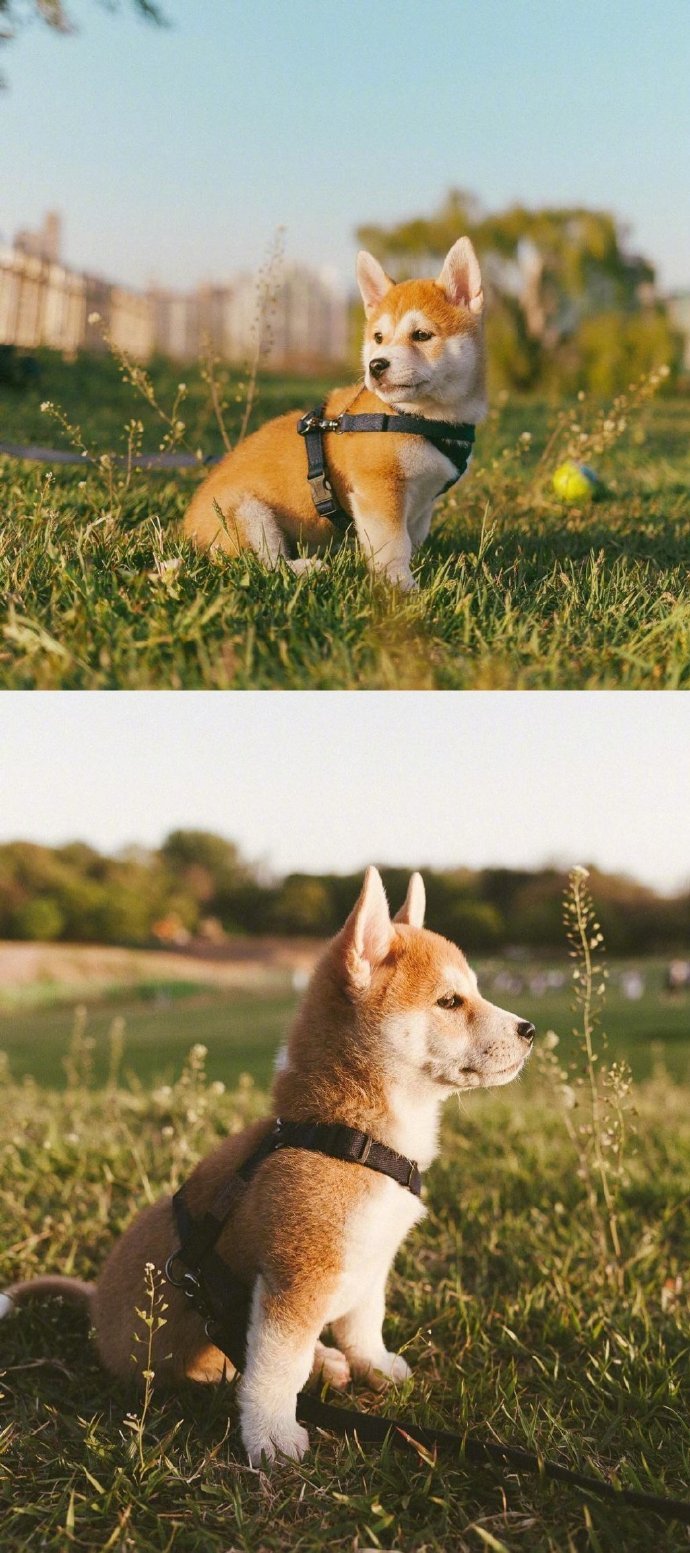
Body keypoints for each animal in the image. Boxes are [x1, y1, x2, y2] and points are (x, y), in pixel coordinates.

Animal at [0, 875, 534, 1466]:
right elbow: (277, 1367)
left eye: (475, 992)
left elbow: (363, 1324)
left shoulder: (371, 1262)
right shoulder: (297, 1279)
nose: (529, 1029)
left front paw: (373, 1365)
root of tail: (94, 1306)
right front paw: (272, 1434)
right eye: (449, 1001)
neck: (347, 1136)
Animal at [181, 239, 484, 590]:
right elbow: (394, 547)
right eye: (378, 338)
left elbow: (413, 538)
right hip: (248, 513)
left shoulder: (423, 501)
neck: (422, 419)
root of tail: (186, 531)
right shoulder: (380, 490)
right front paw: (403, 590)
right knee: (266, 564)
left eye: (421, 335)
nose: (376, 365)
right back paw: (307, 568)